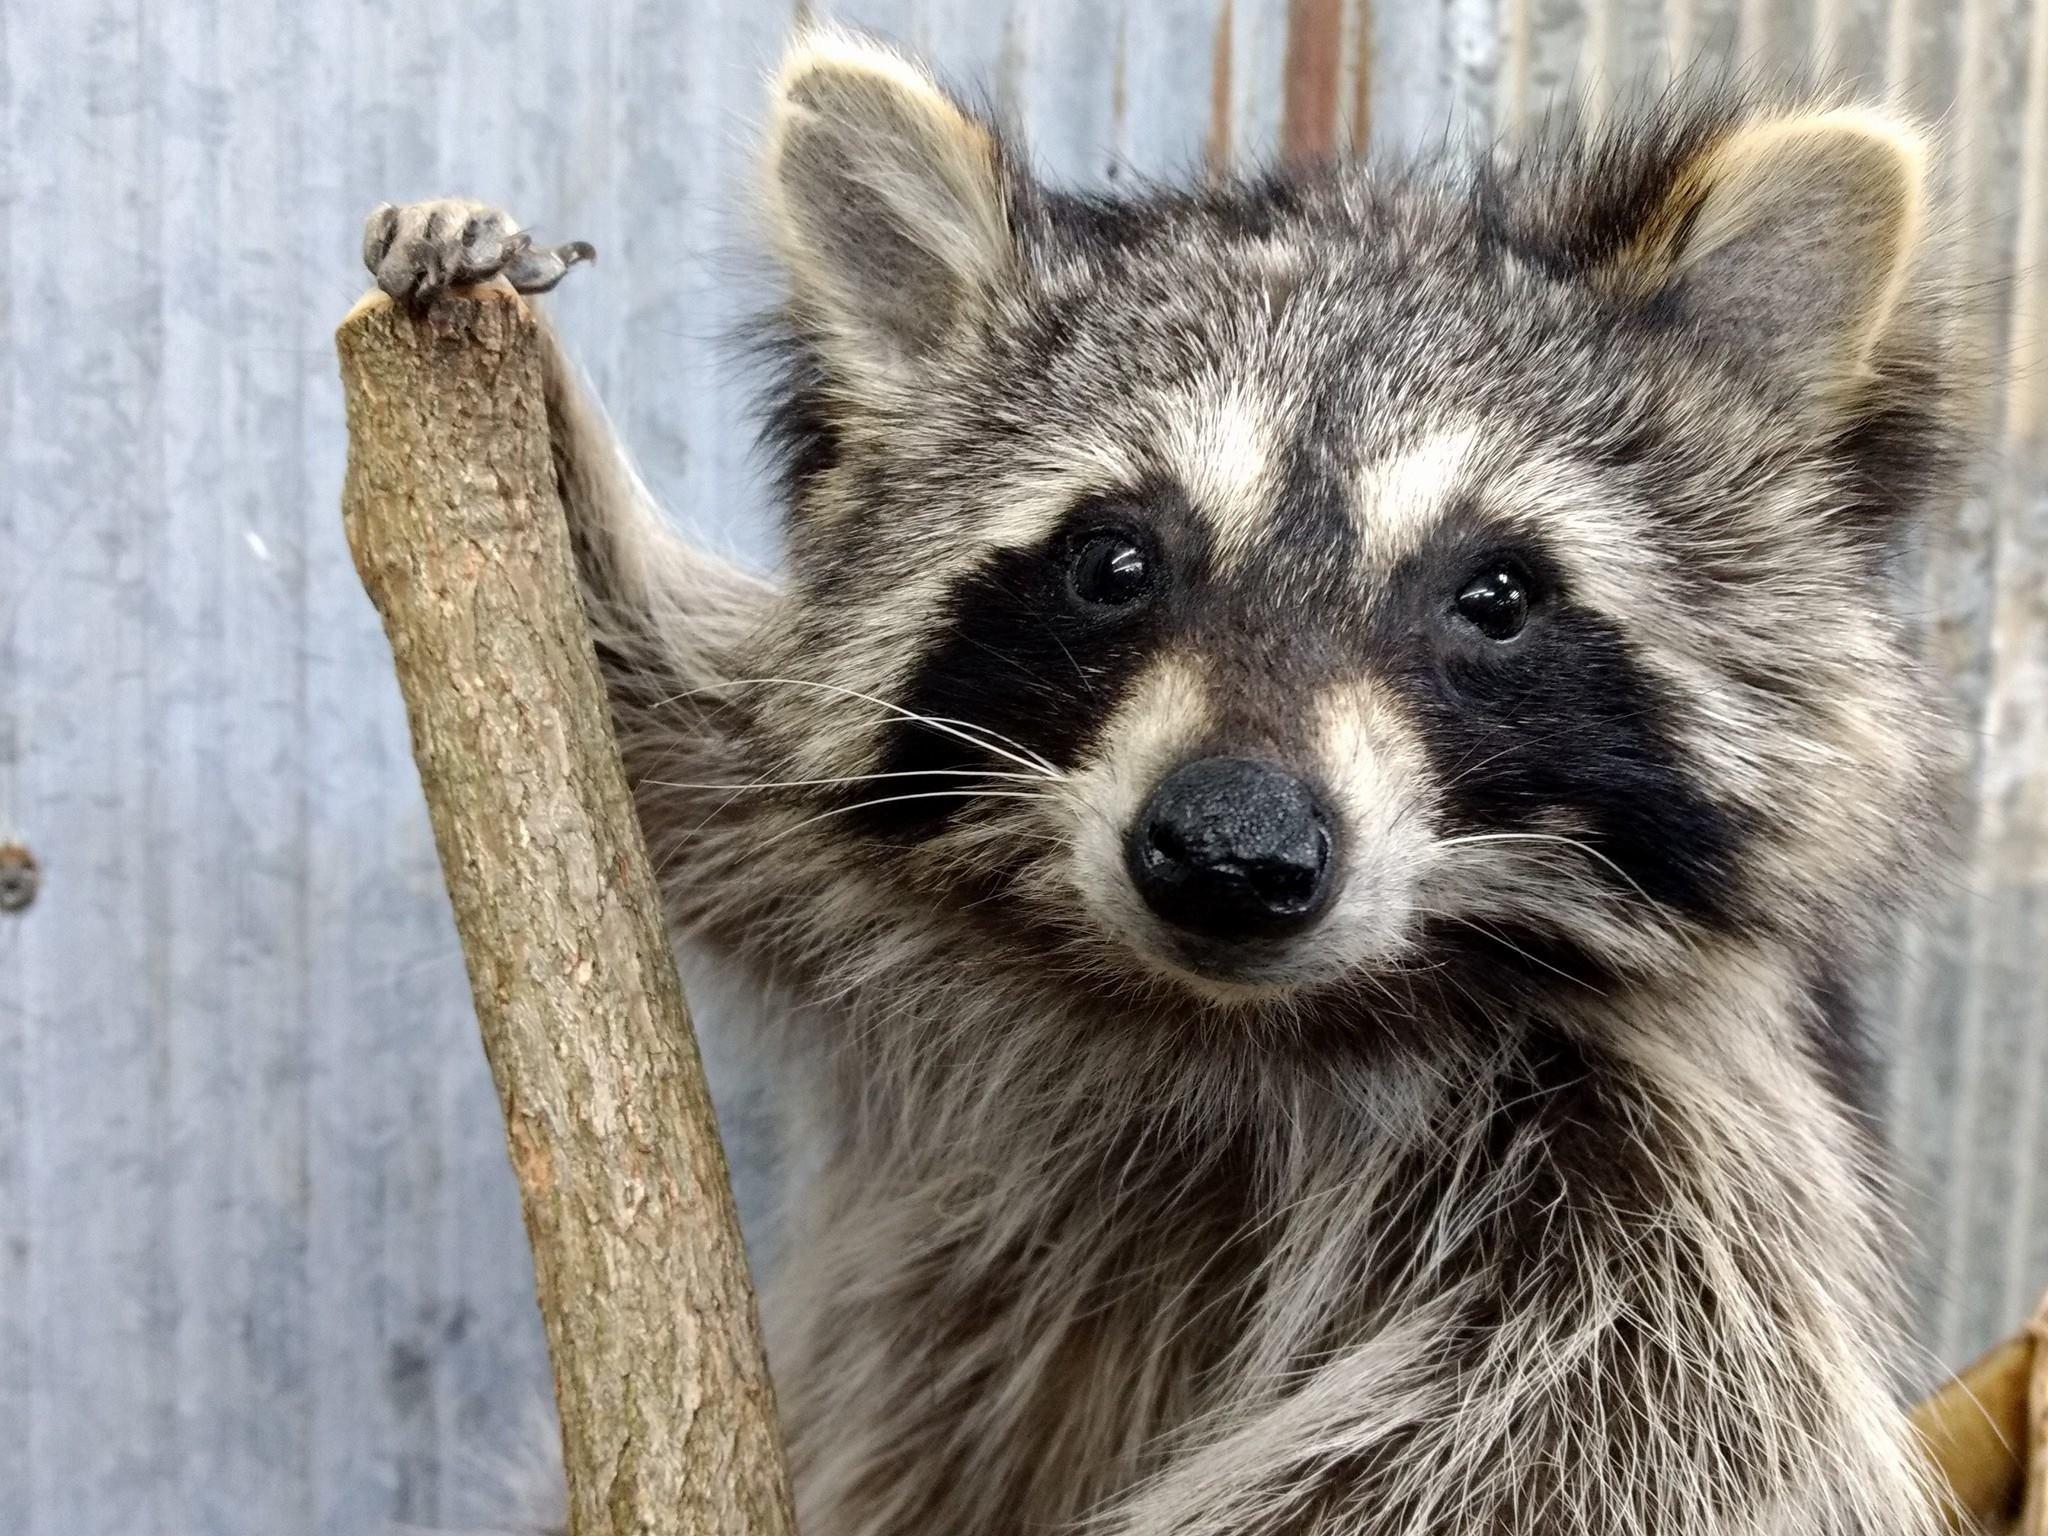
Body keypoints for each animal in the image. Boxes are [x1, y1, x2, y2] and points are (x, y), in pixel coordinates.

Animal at [364, 24, 1966, 1536]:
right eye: (1114, 561)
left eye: (1495, 596)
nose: (1227, 853)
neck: (1226, 1017)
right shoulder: (856, 862)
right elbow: (669, 725)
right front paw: (548, 432)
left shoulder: (1678, 1127)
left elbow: (1628, 1438)